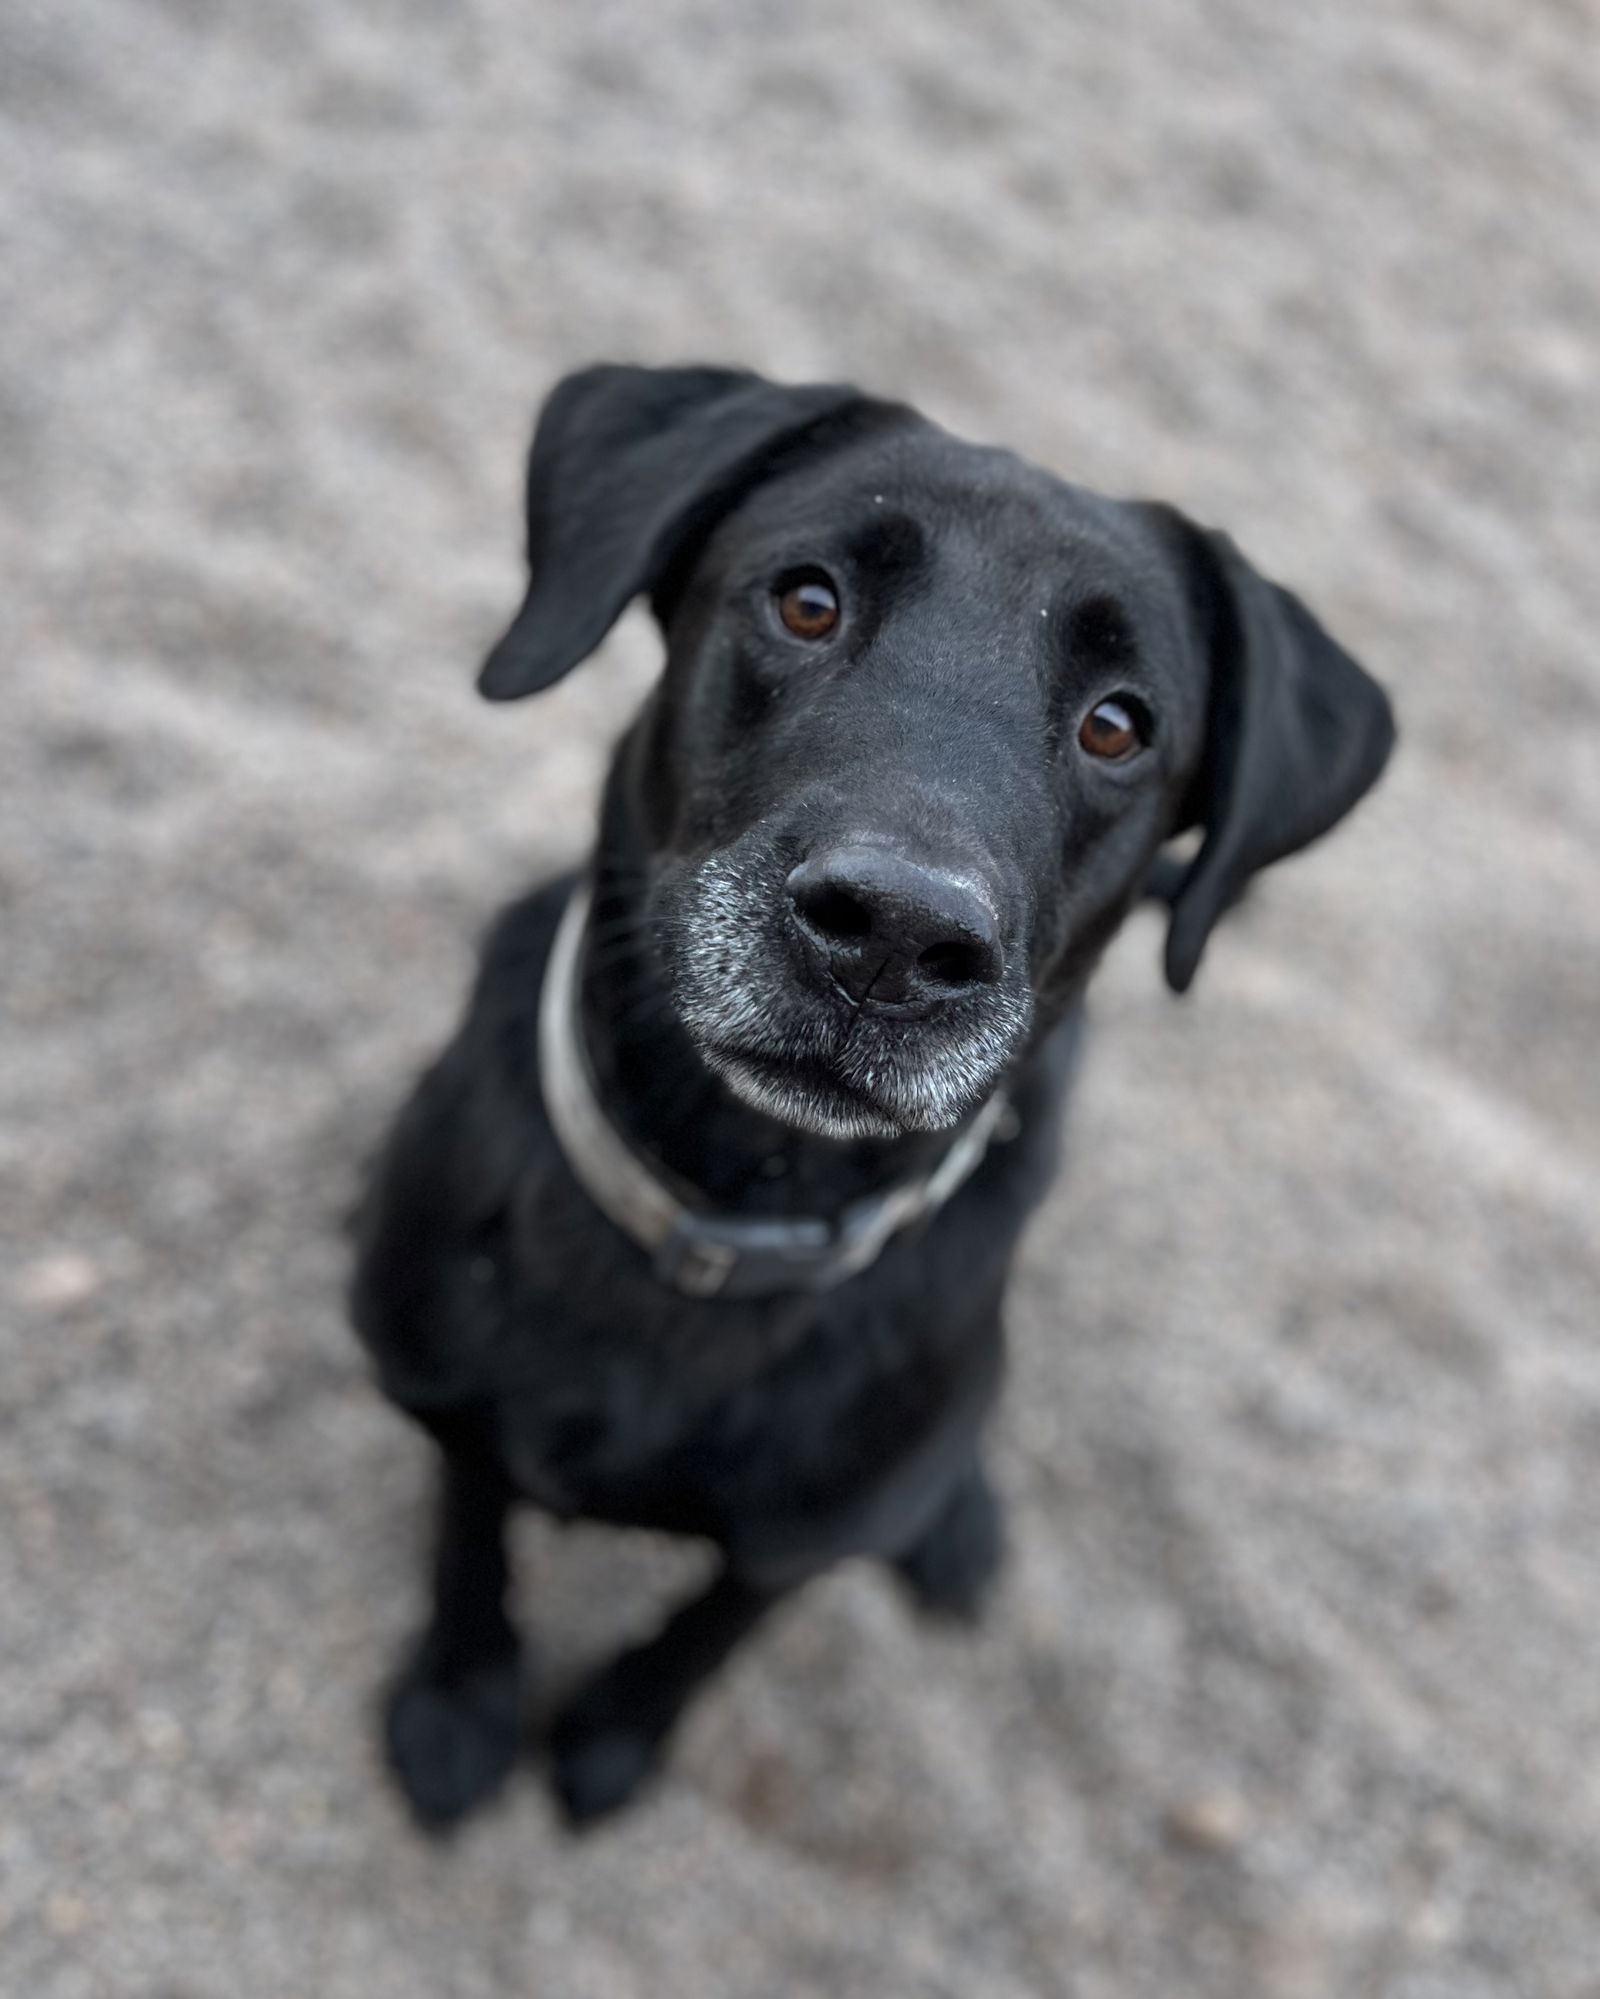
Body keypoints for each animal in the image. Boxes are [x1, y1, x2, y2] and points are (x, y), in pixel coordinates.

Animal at [346, 359, 1384, 1831]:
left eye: (1119, 724)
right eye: (807, 599)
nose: (895, 934)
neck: (731, 1203)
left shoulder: (800, 1539)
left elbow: (714, 1627)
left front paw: (615, 1733)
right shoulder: (443, 1391)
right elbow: (469, 1532)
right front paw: (460, 1697)